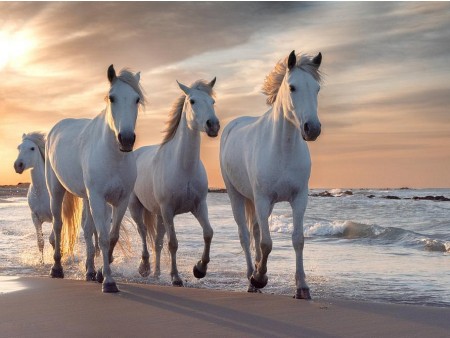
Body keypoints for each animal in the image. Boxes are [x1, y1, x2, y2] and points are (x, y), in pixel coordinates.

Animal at [14, 131, 99, 262]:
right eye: (19, 148)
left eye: (32, 148)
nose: (18, 165)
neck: (40, 192)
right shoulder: (35, 217)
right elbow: (41, 242)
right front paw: (42, 262)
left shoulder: (56, 215)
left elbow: (52, 239)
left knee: (92, 231)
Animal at [45, 66, 144, 294]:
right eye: (112, 97)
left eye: (136, 99)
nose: (126, 139)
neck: (113, 156)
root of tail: (56, 128)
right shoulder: (98, 198)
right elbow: (104, 237)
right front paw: (108, 281)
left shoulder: (120, 200)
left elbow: (111, 236)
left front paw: (100, 273)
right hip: (56, 191)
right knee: (58, 225)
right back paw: (57, 268)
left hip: (86, 198)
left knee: (88, 230)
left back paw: (89, 271)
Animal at [125, 77, 220, 286]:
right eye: (192, 101)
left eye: (212, 102)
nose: (213, 125)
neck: (184, 167)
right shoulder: (168, 210)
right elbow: (173, 243)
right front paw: (176, 277)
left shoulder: (199, 206)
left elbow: (208, 233)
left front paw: (199, 269)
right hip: (137, 207)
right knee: (143, 232)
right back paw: (145, 268)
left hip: (159, 215)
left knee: (157, 242)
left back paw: (156, 273)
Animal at [220, 50, 322, 298]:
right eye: (292, 87)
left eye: (317, 88)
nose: (312, 129)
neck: (283, 149)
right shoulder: (263, 198)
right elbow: (266, 243)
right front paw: (259, 278)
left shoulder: (299, 198)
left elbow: (298, 239)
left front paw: (302, 287)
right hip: (236, 195)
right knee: (245, 235)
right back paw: (251, 277)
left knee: (256, 231)